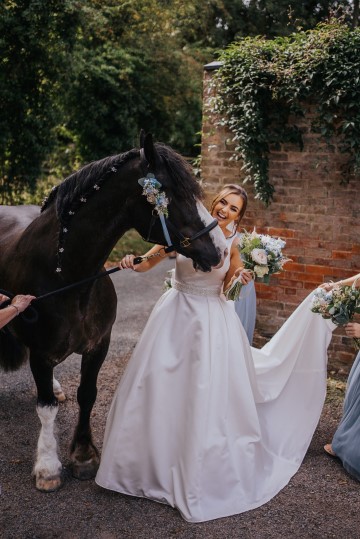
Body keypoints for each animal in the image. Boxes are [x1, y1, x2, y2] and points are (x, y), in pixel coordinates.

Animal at [0, 134, 225, 494]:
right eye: (171, 193)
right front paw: (48, 466)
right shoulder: (40, 353)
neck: (67, 278)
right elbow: (45, 408)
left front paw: (83, 455)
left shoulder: (99, 345)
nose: (218, 249)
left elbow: (87, 395)